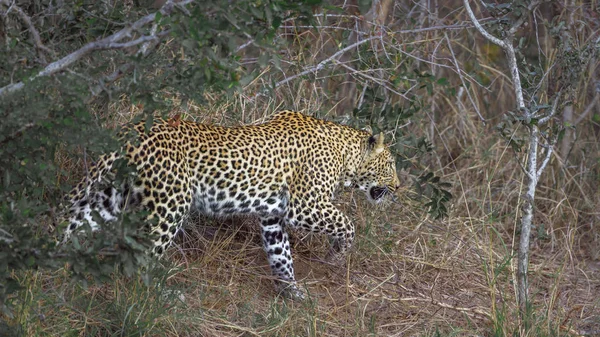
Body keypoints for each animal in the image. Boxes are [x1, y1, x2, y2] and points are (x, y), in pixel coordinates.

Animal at [63, 109, 400, 296]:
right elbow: (347, 224)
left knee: (75, 223)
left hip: (109, 196)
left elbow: (281, 255)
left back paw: (59, 265)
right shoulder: (304, 206)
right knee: (144, 256)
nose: (398, 187)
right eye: (391, 164)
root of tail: (129, 132)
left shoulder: (273, 216)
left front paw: (290, 291)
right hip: (169, 204)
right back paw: (157, 294)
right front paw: (337, 255)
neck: (346, 157)